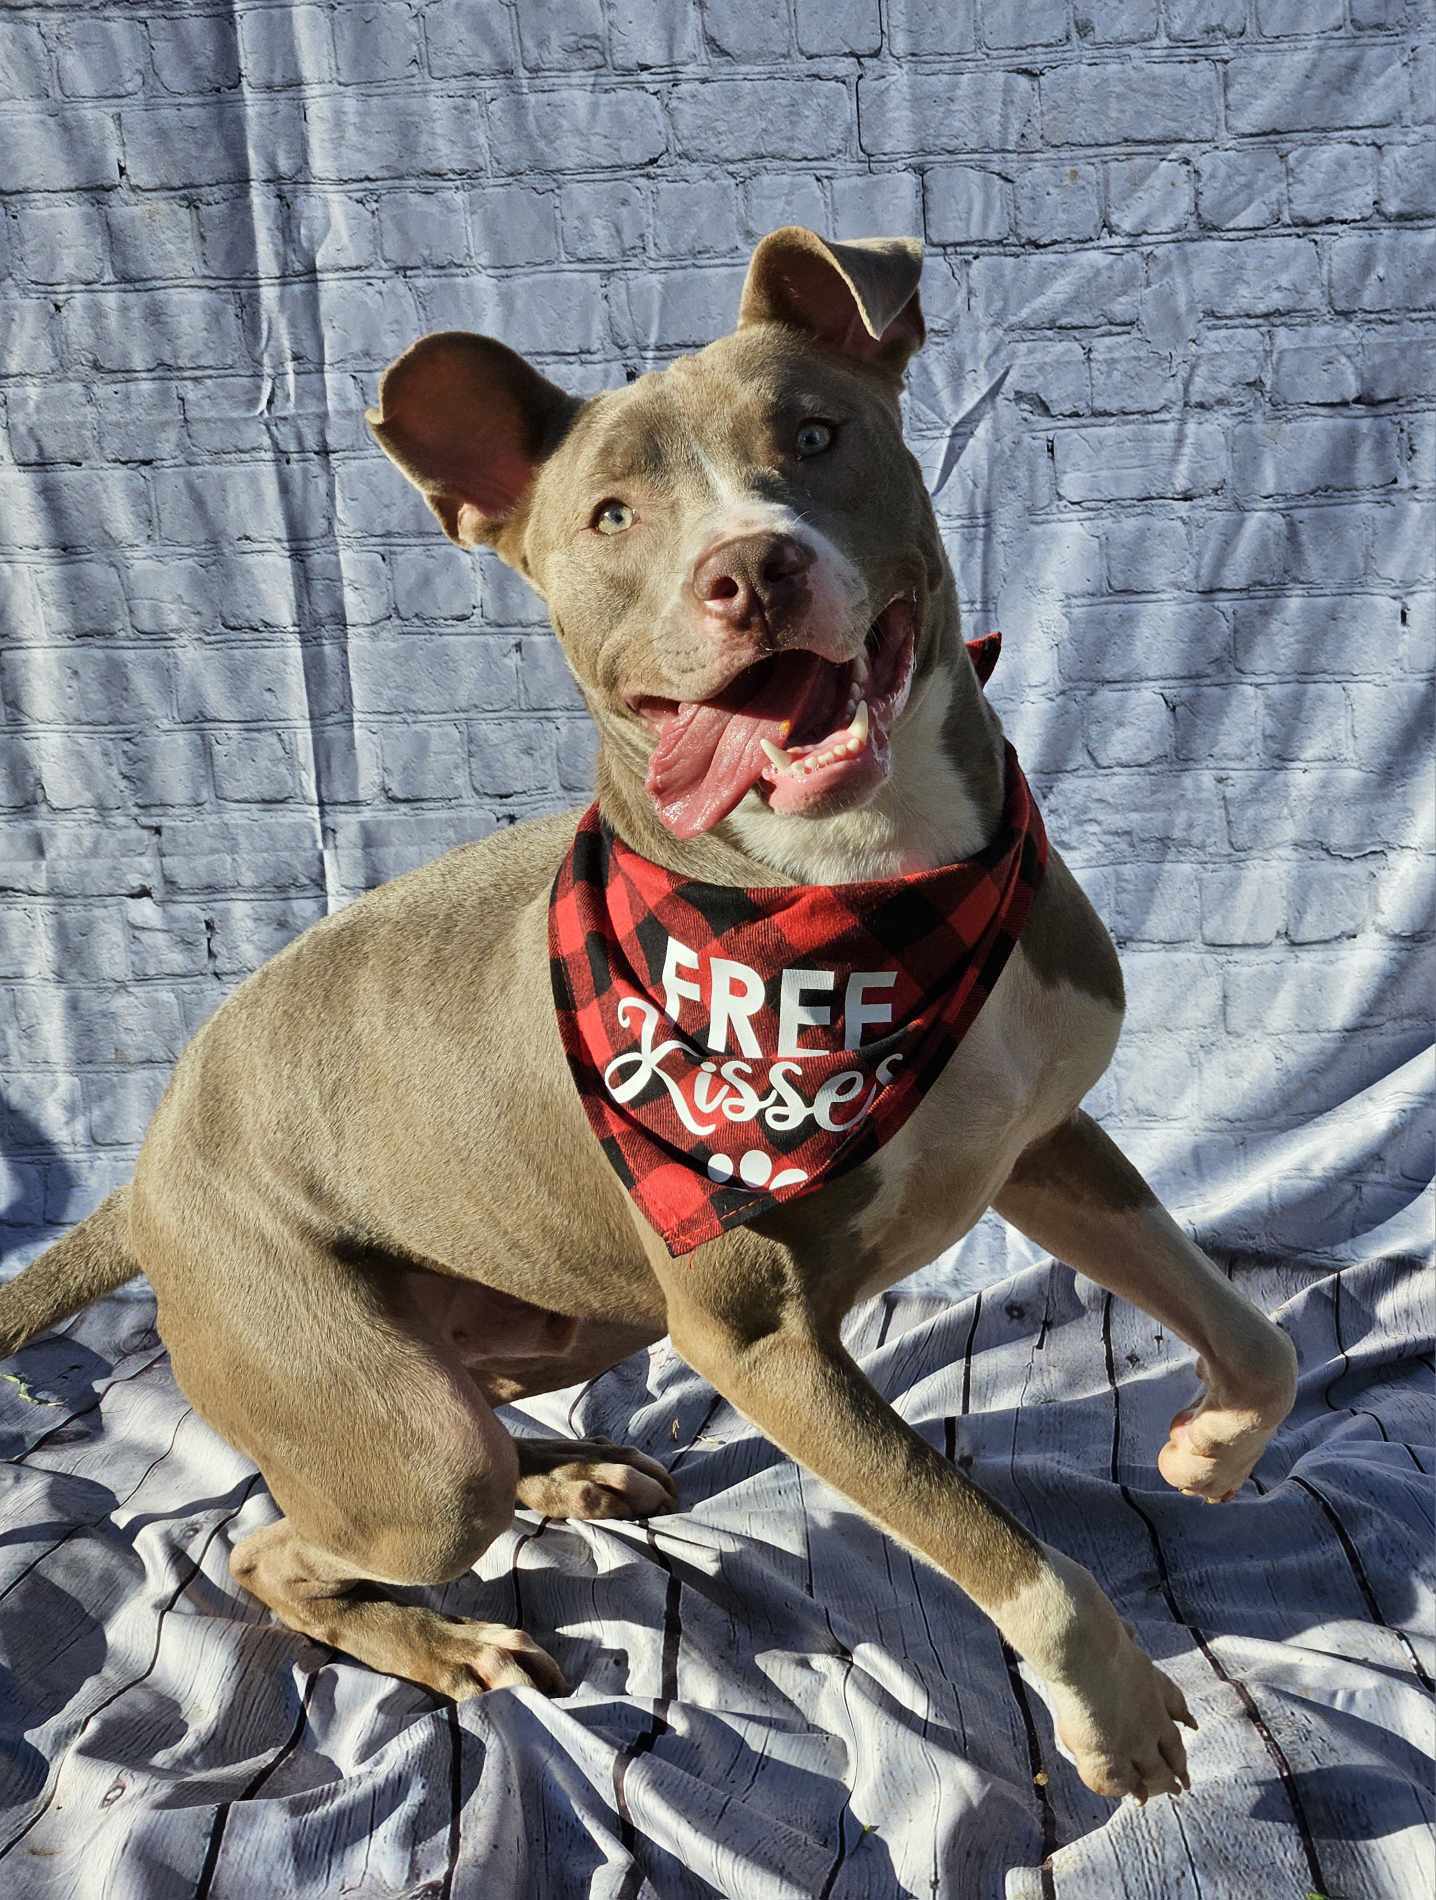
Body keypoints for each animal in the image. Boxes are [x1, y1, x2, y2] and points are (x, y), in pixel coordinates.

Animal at [0, 229, 1299, 1801]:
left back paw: (566, 1472)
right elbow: (997, 1544)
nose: (747, 567)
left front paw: (1210, 1451)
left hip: (549, 1326)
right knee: (279, 1545)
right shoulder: (761, 1341)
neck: (866, 887)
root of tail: (142, 1174)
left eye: (815, 435)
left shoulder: (1046, 1142)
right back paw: (453, 1643)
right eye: (612, 514)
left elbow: (1258, 1334)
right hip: (402, 1441)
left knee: (446, 1436)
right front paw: (1111, 1703)